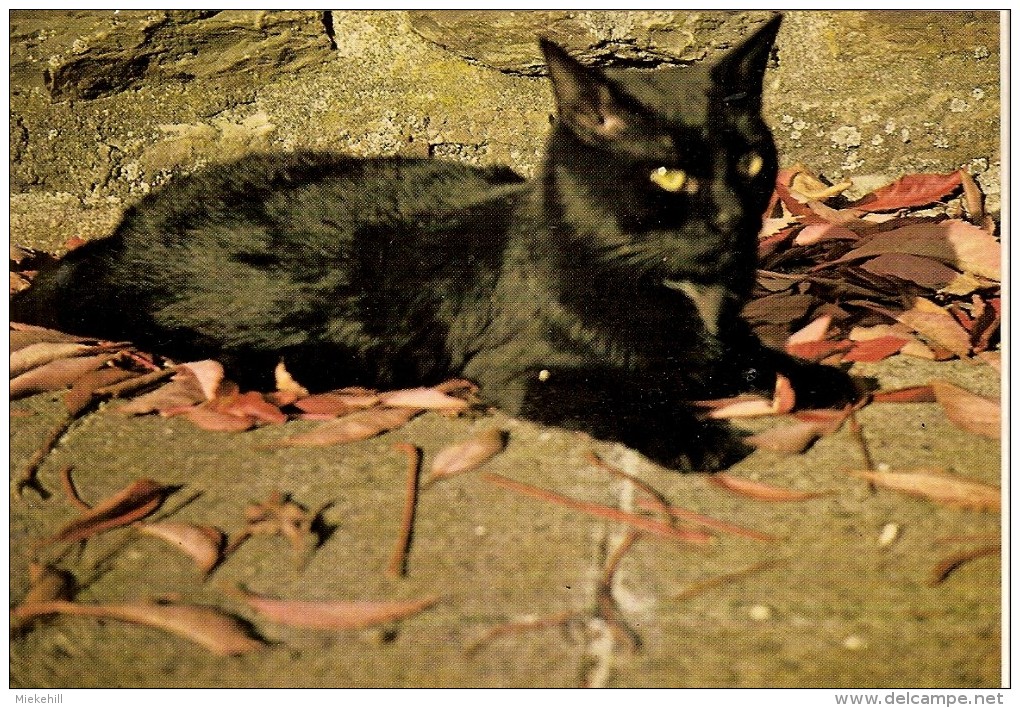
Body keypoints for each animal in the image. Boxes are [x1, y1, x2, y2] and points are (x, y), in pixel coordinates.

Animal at [13, 15, 852, 471]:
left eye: (751, 165)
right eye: (670, 175)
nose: (732, 219)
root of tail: (118, 237)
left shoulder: (723, 338)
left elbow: (747, 355)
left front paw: (817, 377)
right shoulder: (524, 368)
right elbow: (625, 393)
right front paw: (695, 436)